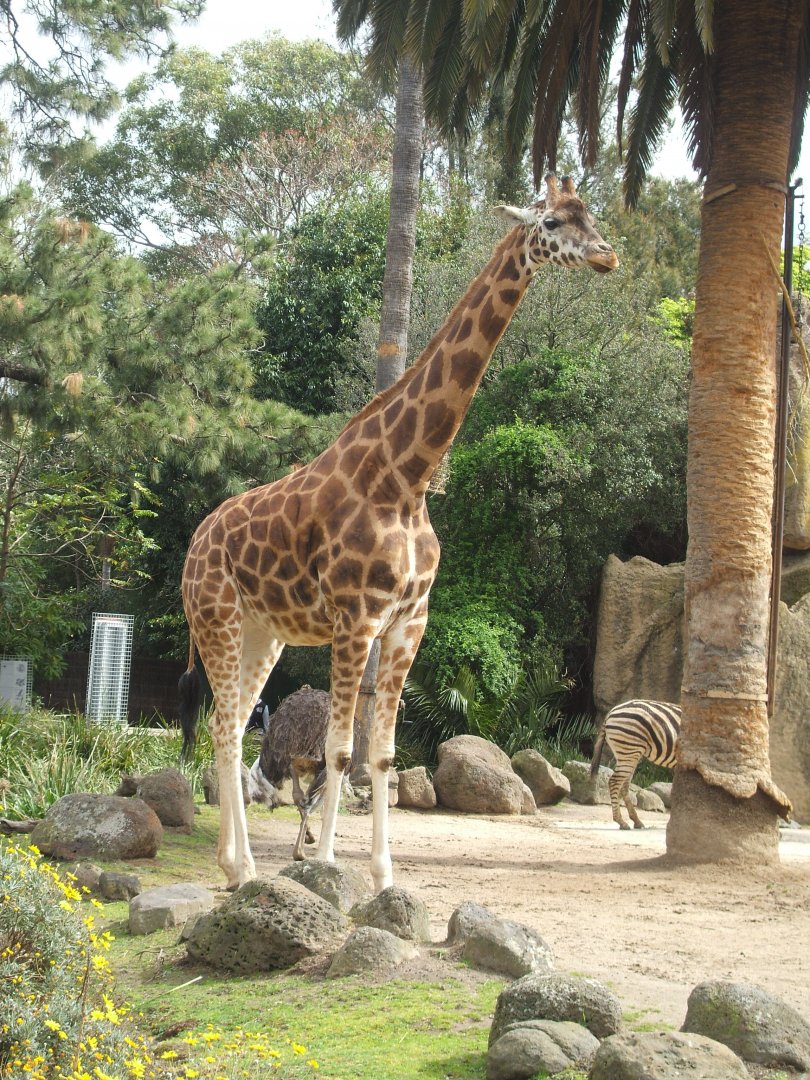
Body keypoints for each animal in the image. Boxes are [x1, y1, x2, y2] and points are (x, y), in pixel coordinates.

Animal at [180, 174, 618, 892]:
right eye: (553, 221)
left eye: (593, 216)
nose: (608, 256)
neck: (406, 476)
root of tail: (194, 545)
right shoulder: (355, 618)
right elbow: (337, 750)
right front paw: (328, 867)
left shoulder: (410, 620)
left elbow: (382, 757)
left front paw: (385, 878)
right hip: (217, 618)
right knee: (223, 724)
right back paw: (241, 867)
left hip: (262, 632)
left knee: (234, 724)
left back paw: (236, 865)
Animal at [590, 699, 681, 829]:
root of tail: (611, 712)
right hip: (630, 749)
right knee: (615, 782)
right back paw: (621, 822)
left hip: (627, 753)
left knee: (624, 785)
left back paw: (636, 821)